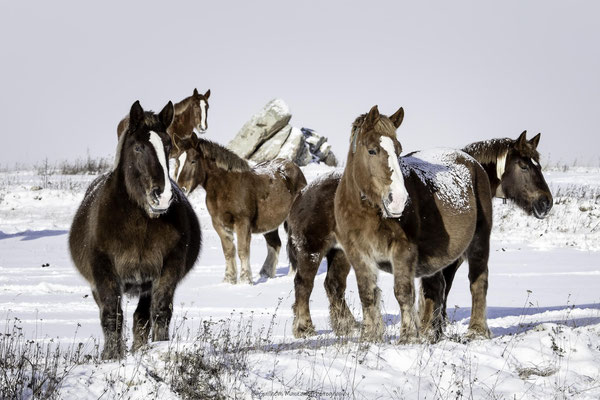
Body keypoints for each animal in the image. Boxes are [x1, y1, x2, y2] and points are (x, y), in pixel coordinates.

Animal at [70, 100, 202, 360]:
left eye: (168, 144)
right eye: (139, 147)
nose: (162, 197)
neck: (139, 225)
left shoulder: (165, 270)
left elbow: (158, 313)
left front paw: (159, 348)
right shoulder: (104, 272)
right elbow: (112, 316)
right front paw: (112, 357)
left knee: (141, 318)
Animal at [173, 136, 304, 282]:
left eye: (193, 161)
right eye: (177, 162)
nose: (182, 189)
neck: (225, 187)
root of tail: (294, 167)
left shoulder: (242, 223)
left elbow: (242, 250)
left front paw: (245, 279)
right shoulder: (219, 224)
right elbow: (229, 251)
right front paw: (229, 279)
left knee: (293, 244)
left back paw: (292, 274)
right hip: (270, 223)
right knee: (275, 244)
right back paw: (266, 273)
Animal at [288, 126, 552, 340]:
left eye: (538, 164)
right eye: (524, 166)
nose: (546, 202)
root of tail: (303, 192)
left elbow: (432, 290)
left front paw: (431, 328)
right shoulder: (448, 262)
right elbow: (439, 289)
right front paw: (432, 327)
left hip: (340, 254)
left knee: (334, 285)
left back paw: (348, 326)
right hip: (311, 250)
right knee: (304, 284)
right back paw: (305, 328)